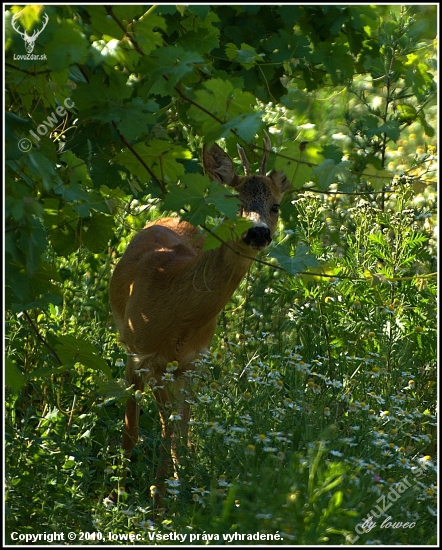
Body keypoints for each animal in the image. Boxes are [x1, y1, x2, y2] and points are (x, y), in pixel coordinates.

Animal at [109, 134, 292, 500]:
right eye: (234, 200)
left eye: (275, 206)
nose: (258, 232)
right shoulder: (148, 356)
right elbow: (159, 427)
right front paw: (146, 497)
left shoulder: (194, 361)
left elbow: (179, 430)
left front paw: (174, 492)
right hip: (132, 351)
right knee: (131, 417)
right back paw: (120, 485)